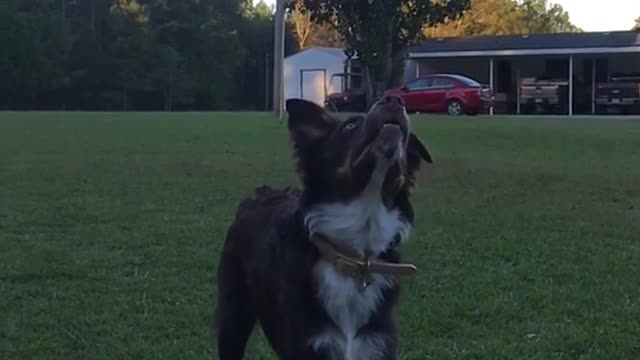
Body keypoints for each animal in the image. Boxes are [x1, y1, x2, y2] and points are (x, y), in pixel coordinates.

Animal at [212, 95, 432, 360]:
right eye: (349, 126)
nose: (393, 99)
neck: (354, 258)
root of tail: (259, 194)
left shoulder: (377, 344)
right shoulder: (307, 343)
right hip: (234, 314)